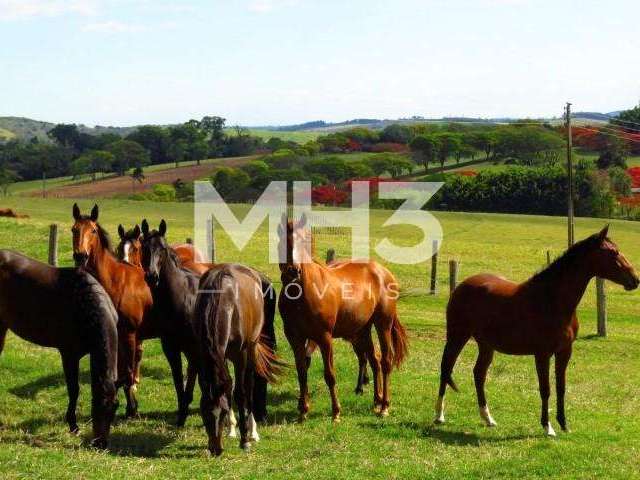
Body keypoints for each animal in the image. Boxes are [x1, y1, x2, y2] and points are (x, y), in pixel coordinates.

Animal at [0, 249, 117, 448]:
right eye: (97, 405)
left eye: (115, 408)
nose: (101, 444)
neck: (85, 304)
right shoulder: (69, 354)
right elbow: (74, 389)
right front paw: (73, 425)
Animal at [117, 223, 278, 422]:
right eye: (145, 248)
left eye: (162, 248)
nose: (152, 276)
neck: (180, 296)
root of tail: (260, 279)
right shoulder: (171, 347)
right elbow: (179, 379)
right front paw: (182, 413)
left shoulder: (195, 347)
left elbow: (197, 377)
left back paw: (257, 413)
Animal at [195, 264, 280, 456]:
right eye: (204, 413)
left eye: (223, 413)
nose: (216, 449)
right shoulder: (214, 355)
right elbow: (228, 388)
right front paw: (232, 428)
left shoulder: (240, 356)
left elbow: (240, 393)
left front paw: (245, 440)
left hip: (251, 348)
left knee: (250, 386)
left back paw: (252, 431)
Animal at [278, 214, 408, 420]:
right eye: (283, 240)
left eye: (305, 241)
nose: (293, 271)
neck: (303, 295)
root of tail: (384, 272)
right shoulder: (295, 338)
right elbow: (301, 372)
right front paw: (303, 411)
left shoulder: (324, 338)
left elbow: (329, 375)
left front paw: (336, 412)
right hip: (362, 330)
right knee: (373, 360)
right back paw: (376, 400)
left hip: (383, 325)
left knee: (386, 361)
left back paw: (384, 406)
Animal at [436, 227, 640, 436]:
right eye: (612, 252)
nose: (635, 279)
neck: (551, 300)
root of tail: (462, 286)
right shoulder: (542, 354)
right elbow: (545, 389)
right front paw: (547, 426)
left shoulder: (564, 352)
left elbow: (561, 387)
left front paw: (564, 424)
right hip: (457, 336)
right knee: (446, 367)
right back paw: (439, 415)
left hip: (486, 345)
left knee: (478, 374)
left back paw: (488, 418)